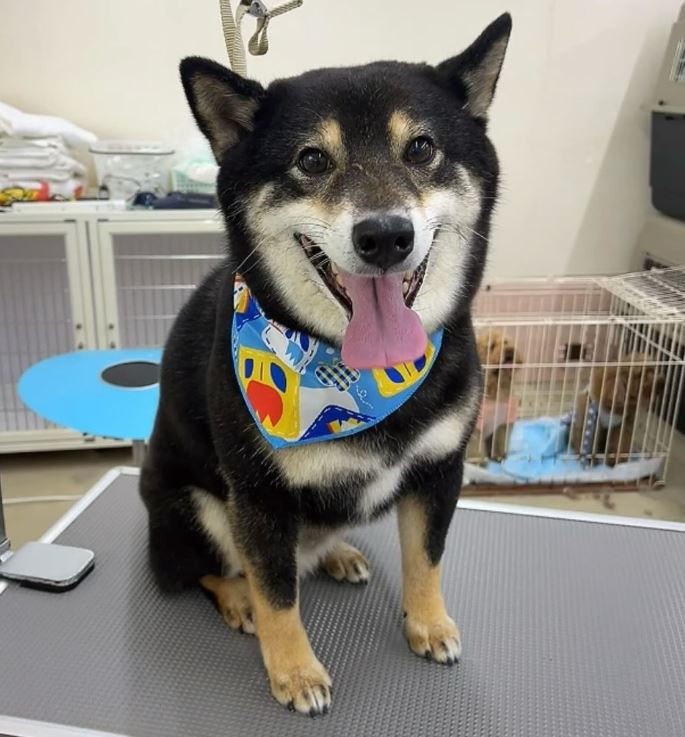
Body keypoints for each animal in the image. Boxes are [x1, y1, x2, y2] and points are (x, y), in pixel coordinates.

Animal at [140, 13, 512, 716]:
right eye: (312, 160)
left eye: (421, 148)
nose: (385, 235)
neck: (357, 375)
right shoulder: (256, 497)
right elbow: (278, 594)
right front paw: (294, 672)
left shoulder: (439, 469)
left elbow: (426, 558)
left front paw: (429, 624)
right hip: (192, 505)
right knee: (202, 569)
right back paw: (238, 599)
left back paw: (335, 553)